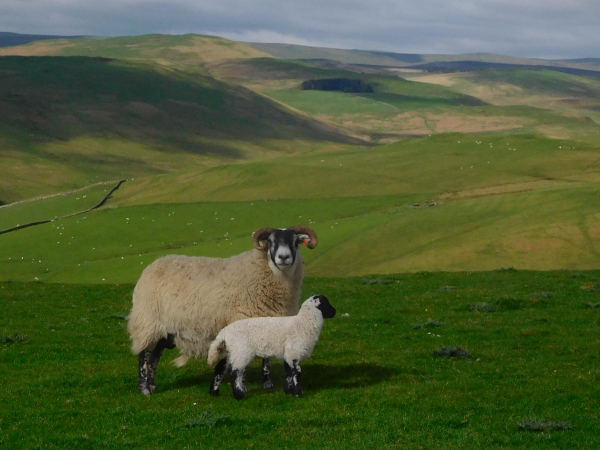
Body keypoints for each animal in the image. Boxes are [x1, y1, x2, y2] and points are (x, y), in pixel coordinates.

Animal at [127, 225, 318, 394]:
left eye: (296, 242)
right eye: (270, 241)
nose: (283, 257)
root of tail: (153, 265)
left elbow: (266, 357)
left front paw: (267, 383)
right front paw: (243, 386)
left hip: (164, 329)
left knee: (154, 357)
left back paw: (152, 385)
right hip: (147, 321)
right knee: (143, 355)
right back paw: (145, 389)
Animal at [206, 296, 338, 400]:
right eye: (326, 303)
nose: (335, 312)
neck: (303, 323)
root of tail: (224, 332)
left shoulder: (288, 353)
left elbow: (289, 372)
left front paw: (288, 391)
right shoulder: (293, 352)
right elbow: (297, 373)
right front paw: (297, 394)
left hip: (231, 351)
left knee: (220, 369)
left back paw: (214, 392)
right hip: (241, 351)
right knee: (234, 372)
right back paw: (239, 395)